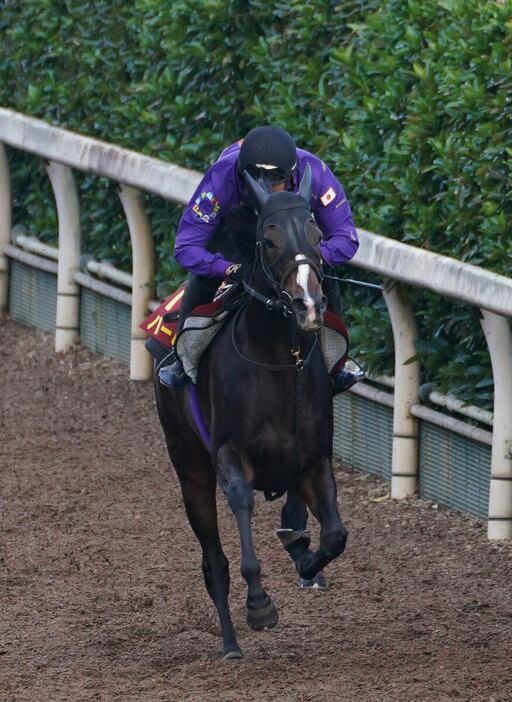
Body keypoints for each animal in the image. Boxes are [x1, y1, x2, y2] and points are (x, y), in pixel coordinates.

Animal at [154, 165, 350, 660]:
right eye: (268, 240)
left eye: (317, 235)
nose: (308, 305)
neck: (278, 361)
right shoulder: (228, 453)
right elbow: (241, 505)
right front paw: (260, 605)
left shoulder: (314, 461)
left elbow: (334, 536)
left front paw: (305, 558)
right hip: (189, 466)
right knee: (214, 561)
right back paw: (229, 642)